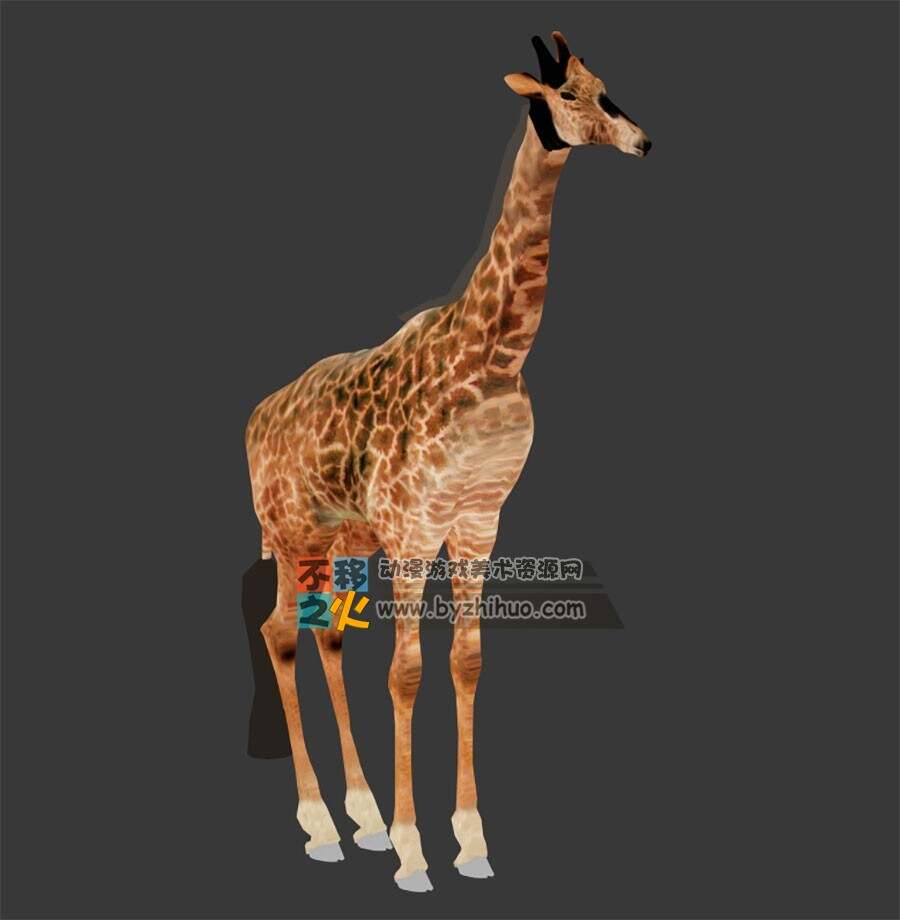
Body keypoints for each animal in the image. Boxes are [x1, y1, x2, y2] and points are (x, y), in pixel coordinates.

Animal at [245, 30, 651, 892]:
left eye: (608, 87)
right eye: (571, 96)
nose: (642, 141)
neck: (492, 355)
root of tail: (255, 418)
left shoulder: (478, 521)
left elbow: (466, 661)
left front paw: (468, 840)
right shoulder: (414, 525)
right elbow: (406, 672)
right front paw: (412, 851)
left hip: (339, 541)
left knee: (323, 635)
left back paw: (358, 817)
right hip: (292, 532)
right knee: (281, 634)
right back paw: (321, 824)